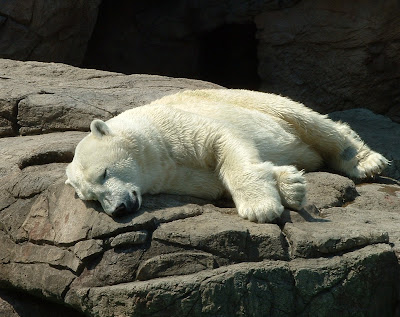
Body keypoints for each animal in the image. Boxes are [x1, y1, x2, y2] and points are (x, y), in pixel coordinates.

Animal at [65, 88, 388, 222]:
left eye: (104, 173)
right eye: (92, 198)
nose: (118, 209)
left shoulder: (175, 126)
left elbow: (224, 142)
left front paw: (260, 208)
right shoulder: (179, 177)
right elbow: (218, 182)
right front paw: (290, 184)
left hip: (253, 101)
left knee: (312, 123)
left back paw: (365, 161)